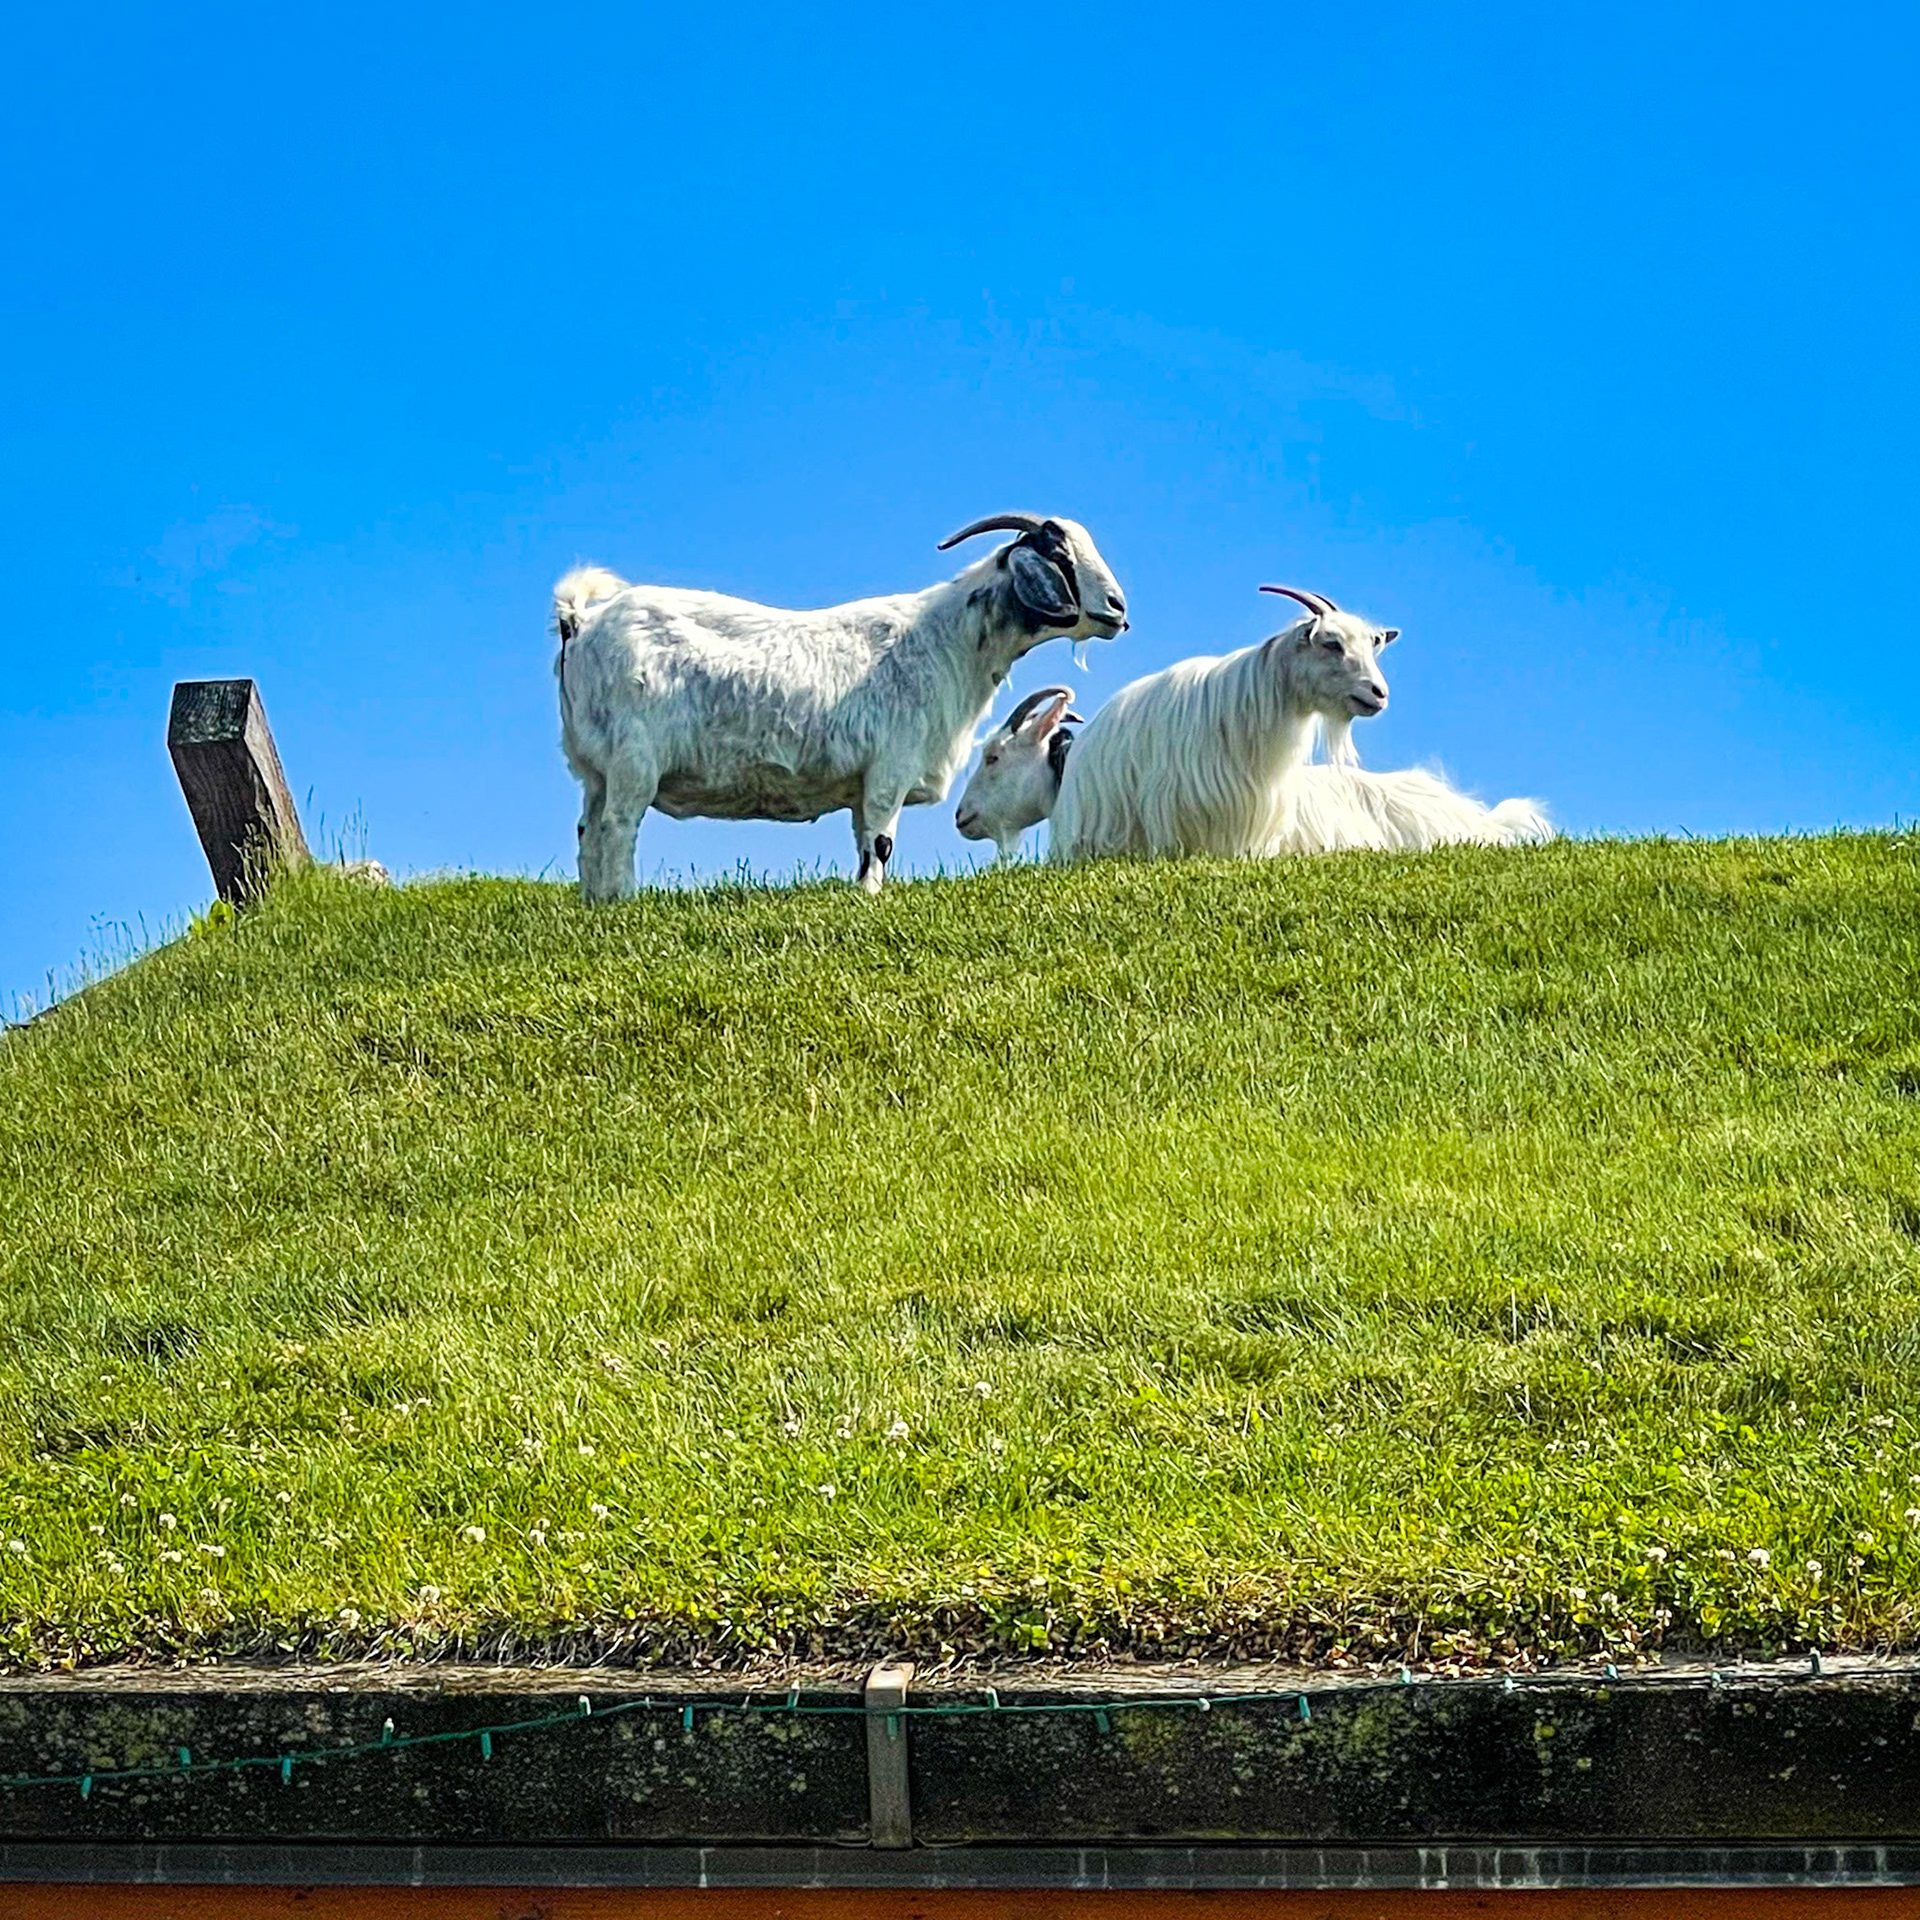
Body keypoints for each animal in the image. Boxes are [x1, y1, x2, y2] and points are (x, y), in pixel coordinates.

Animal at [550, 515, 1126, 900]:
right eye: (1059, 556)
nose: (1118, 609)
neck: (945, 641)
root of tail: (578, 621)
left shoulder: (862, 783)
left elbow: (861, 839)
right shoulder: (890, 769)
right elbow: (881, 842)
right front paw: (870, 896)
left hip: (594, 769)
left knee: (586, 833)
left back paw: (595, 904)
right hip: (633, 763)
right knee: (618, 828)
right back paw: (623, 901)